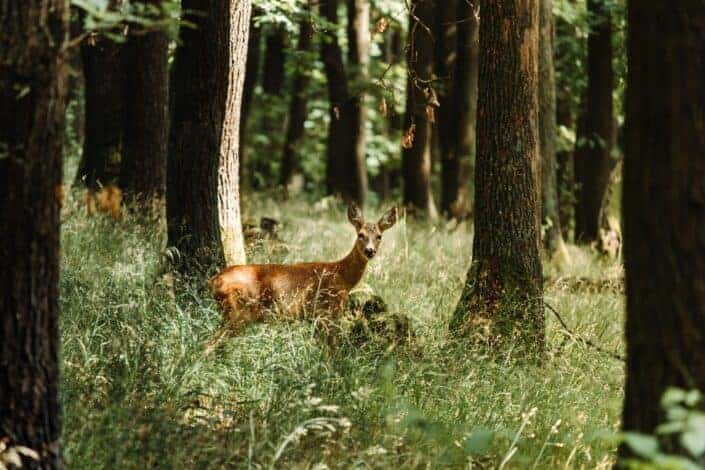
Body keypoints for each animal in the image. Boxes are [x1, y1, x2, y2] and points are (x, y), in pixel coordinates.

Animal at [206, 202, 398, 352]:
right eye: (361, 235)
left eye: (379, 236)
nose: (370, 251)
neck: (342, 276)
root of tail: (214, 281)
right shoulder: (326, 312)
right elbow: (332, 350)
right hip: (238, 311)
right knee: (209, 345)